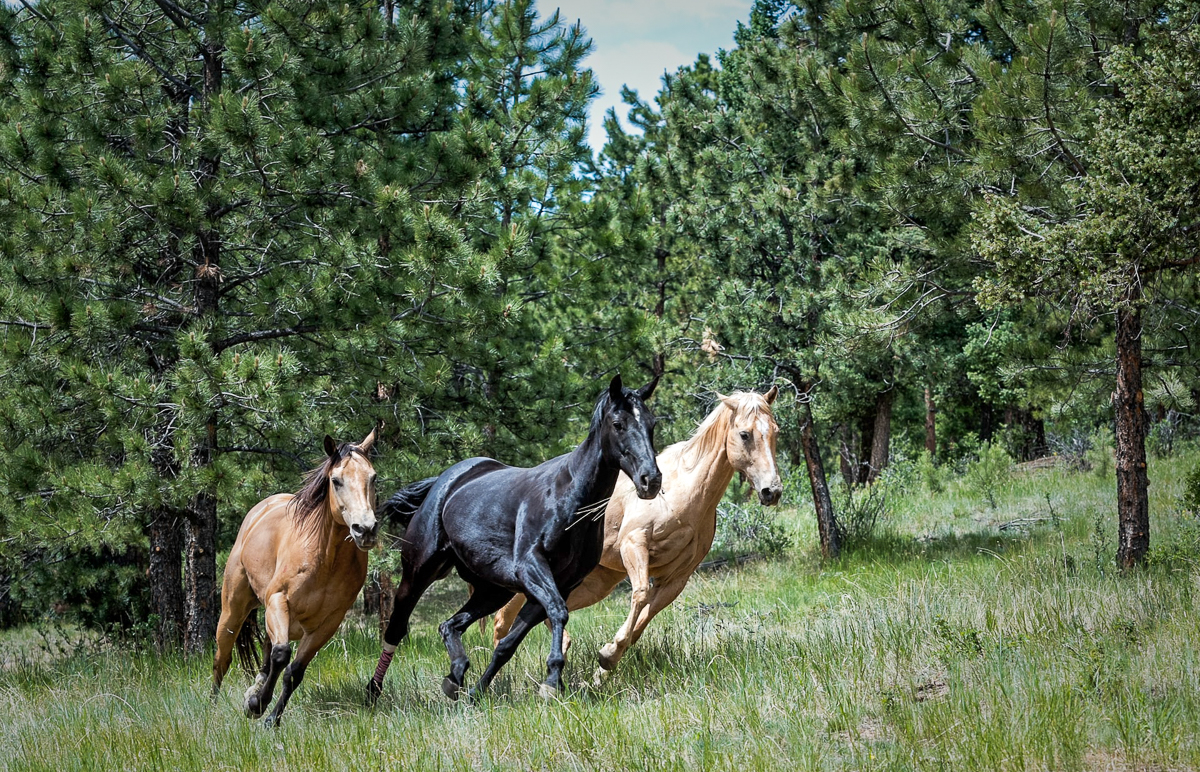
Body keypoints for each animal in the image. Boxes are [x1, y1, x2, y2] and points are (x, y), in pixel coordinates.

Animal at [211, 432, 376, 729]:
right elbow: (281, 654)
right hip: (233, 611)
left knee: (266, 651)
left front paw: (270, 717)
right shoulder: (279, 600)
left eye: (373, 478)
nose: (365, 529)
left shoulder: (328, 623)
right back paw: (212, 708)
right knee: (222, 659)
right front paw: (257, 704)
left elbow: (294, 671)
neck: (325, 558)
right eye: (336, 481)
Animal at [367, 376, 662, 705]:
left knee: (449, 625)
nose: (651, 480)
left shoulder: (556, 584)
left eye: (651, 423)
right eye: (618, 423)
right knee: (396, 628)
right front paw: (552, 680)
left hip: (493, 590)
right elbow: (558, 612)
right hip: (418, 572)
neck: (570, 499)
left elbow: (508, 643)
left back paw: (455, 676)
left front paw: (478, 691)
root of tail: (444, 481)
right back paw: (373, 691)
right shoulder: (532, 567)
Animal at [492, 389, 782, 681]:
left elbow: (643, 620)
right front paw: (607, 655)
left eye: (775, 431)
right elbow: (640, 594)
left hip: (596, 582)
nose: (772, 490)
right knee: (504, 616)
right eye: (744, 434)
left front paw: (603, 667)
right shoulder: (634, 545)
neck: (683, 492)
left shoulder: (677, 578)